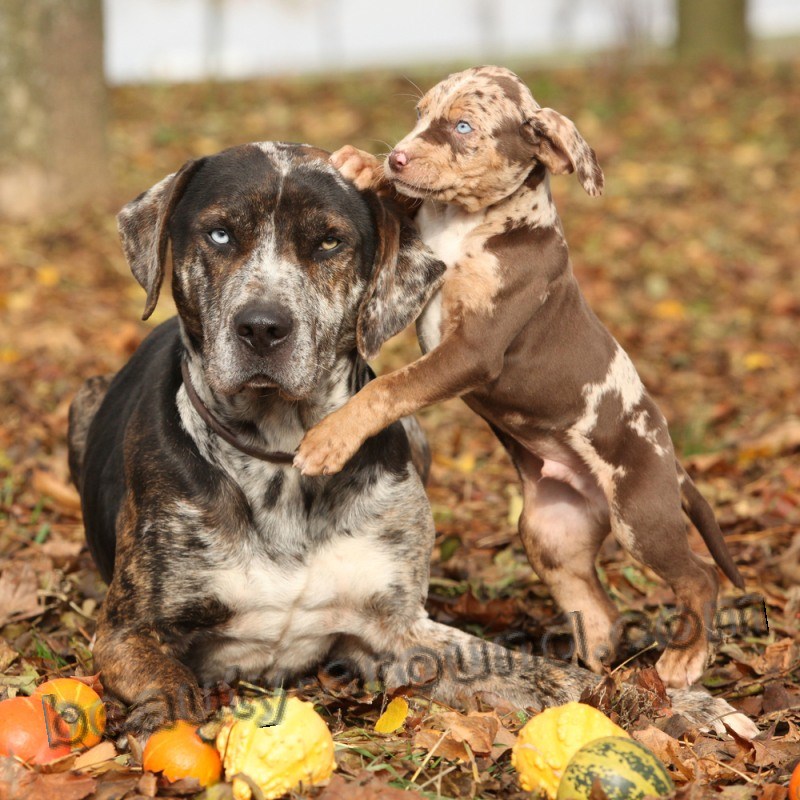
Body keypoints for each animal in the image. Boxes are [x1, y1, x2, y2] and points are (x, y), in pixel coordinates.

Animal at [296, 65, 748, 692]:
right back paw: (594, 668)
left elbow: (386, 388)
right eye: (420, 114)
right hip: (549, 533)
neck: (466, 224)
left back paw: (683, 660)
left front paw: (328, 440)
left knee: (699, 576)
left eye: (463, 126)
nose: (398, 158)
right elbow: (405, 208)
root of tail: (672, 462)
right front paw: (363, 166)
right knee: (600, 607)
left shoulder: (474, 349)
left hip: (641, 519)